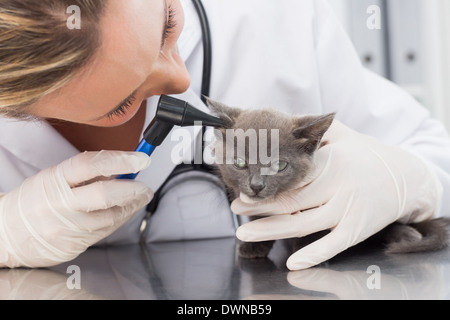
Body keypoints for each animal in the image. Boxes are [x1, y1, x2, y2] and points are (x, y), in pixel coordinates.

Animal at [208, 99, 450, 262]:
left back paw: (406, 234)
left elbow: (313, 223)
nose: (257, 185)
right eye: (239, 162)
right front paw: (252, 245)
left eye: (279, 165)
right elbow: (257, 220)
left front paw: (306, 248)